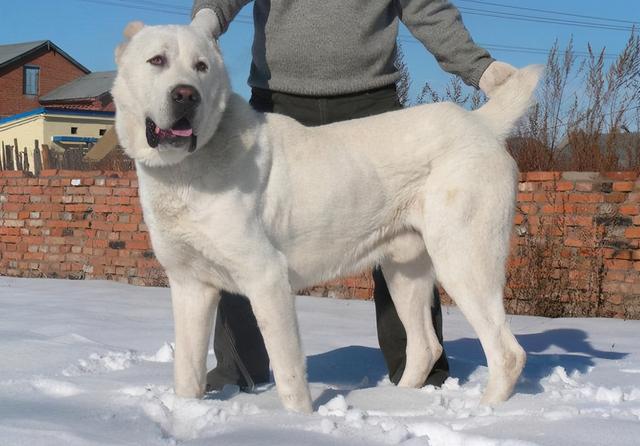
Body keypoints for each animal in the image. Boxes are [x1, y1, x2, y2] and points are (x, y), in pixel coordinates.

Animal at [112, 20, 544, 412]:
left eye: (201, 66)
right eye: (157, 60)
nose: (187, 95)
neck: (186, 170)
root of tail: (480, 123)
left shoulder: (267, 278)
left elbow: (288, 373)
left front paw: (296, 423)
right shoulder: (191, 286)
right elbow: (187, 371)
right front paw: (186, 412)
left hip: (463, 261)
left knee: (507, 353)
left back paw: (485, 412)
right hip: (404, 272)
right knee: (426, 345)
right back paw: (396, 404)